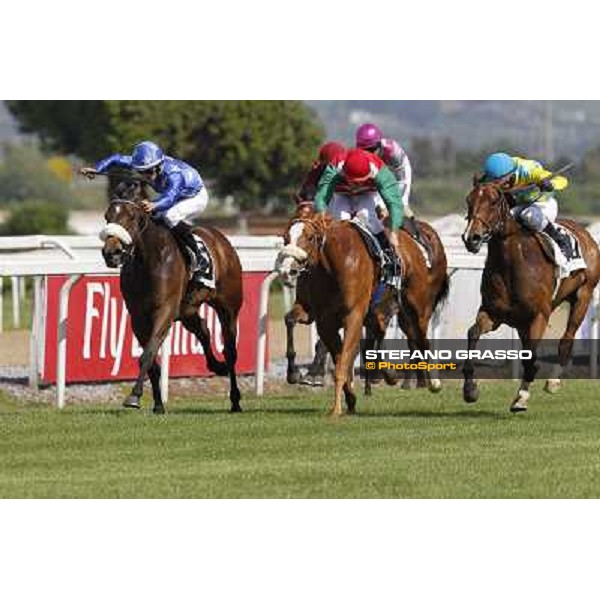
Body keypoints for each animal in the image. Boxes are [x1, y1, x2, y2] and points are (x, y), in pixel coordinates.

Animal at [99, 178, 243, 412]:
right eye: (107, 216)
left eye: (132, 216)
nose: (112, 253)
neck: (149, 260)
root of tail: (222, 240)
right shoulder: (138, 316)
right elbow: (152, 361)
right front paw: (158, 404)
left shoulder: (164, 311)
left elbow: (148, 354)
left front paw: (134, 396)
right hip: (187, 310)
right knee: (203, 330)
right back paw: (216, 365)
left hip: (228, 307)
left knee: (230, 350)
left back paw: (235, 400)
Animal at [462, 180, 600, 410]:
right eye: (469, 200)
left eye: (493, 201)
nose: (471, 237)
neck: (511, 264)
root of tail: (584, 232)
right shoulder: (493, 313)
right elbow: (473, 333)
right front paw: (470, 389)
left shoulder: (539, 316)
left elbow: (529, 356)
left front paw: (521, 398)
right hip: (521, 323)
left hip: (583, 296)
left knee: (567, 339)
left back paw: (553, 381)